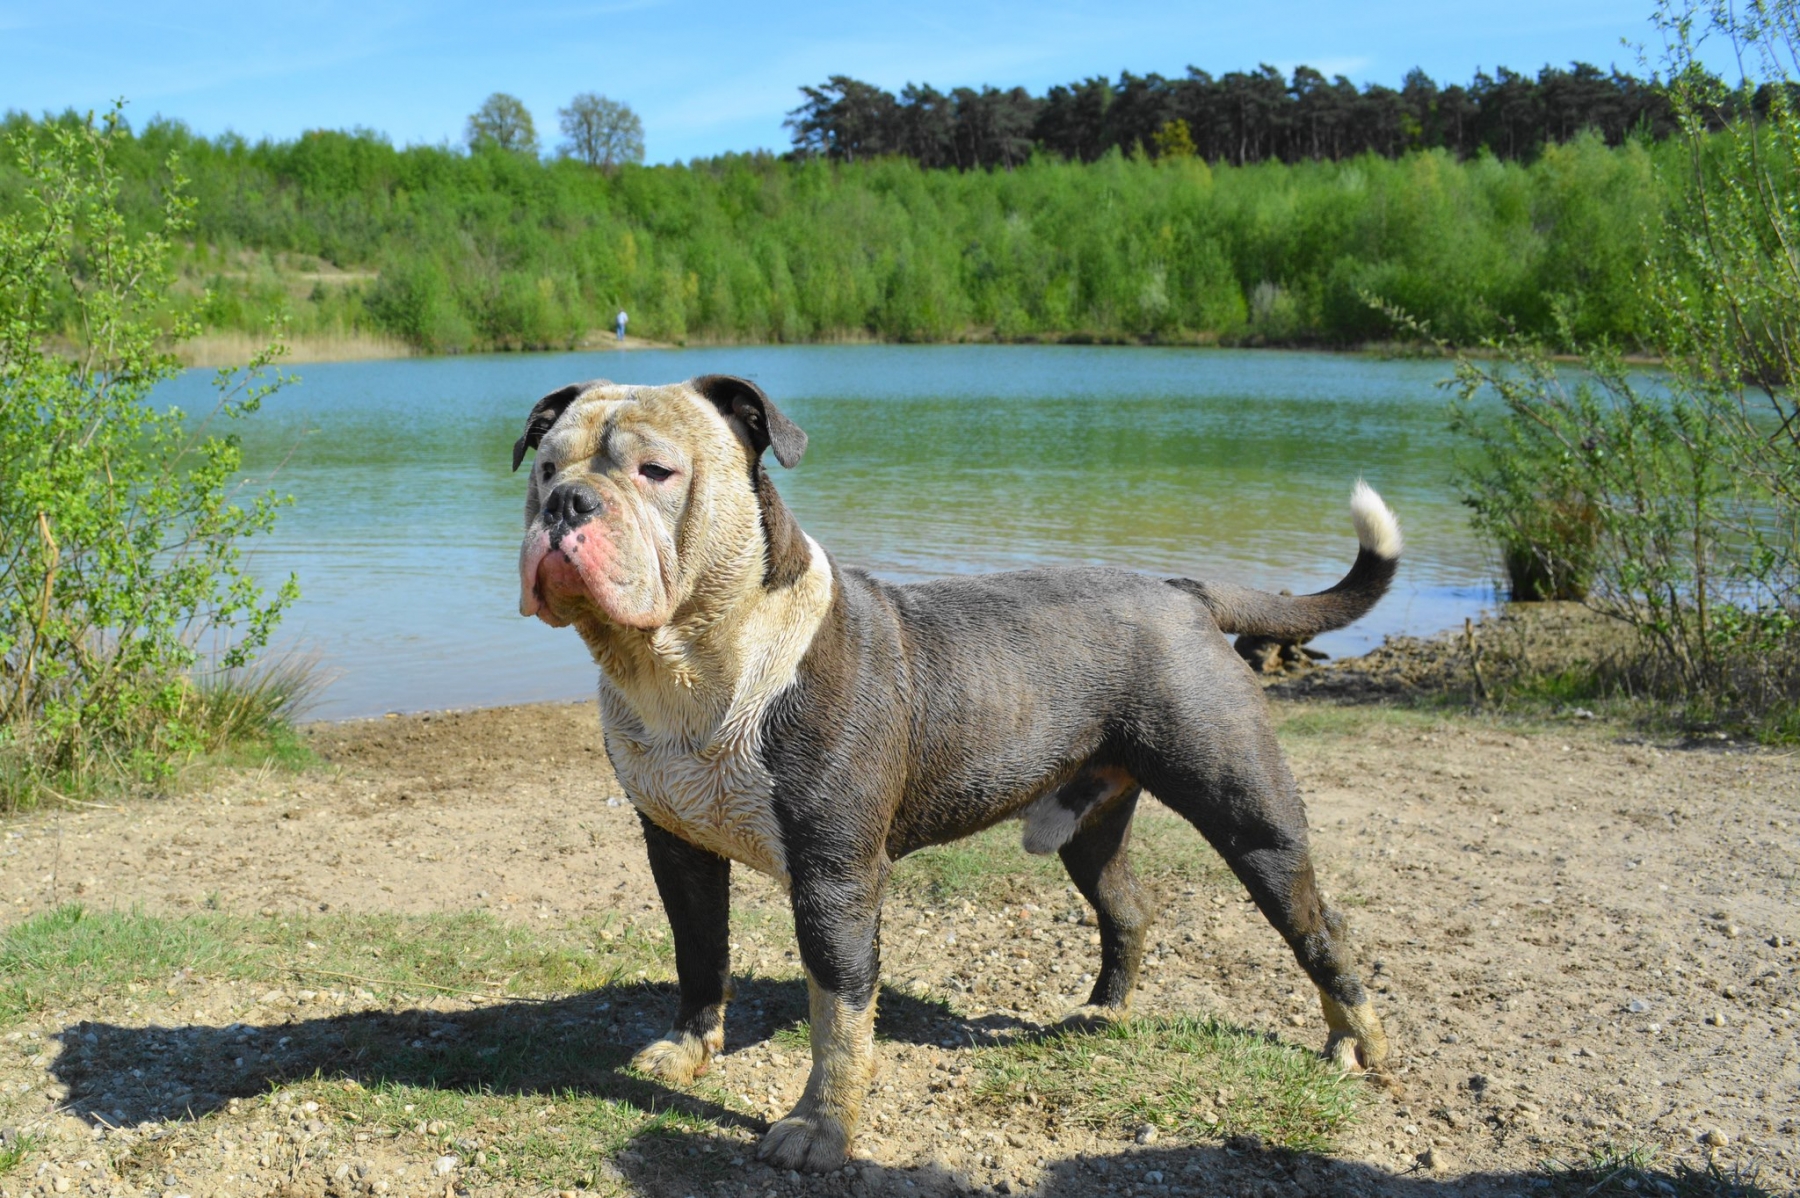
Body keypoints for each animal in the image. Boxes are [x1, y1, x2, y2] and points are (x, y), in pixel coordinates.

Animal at [514, 374, 1396, 1165]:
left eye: (656, 471)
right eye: (547, 469)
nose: (567, 504)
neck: (688, 666)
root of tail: (1181, 589)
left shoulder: (835, 878)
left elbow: (839, 1017)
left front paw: (819, 1130)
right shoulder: (677, 848)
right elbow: (700, 956)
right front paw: (688, 1051)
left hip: (1248, 815)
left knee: (1317, 925)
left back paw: (1359, 1042)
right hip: (1091, 825)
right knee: (1127, 909)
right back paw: (1103, 1014)